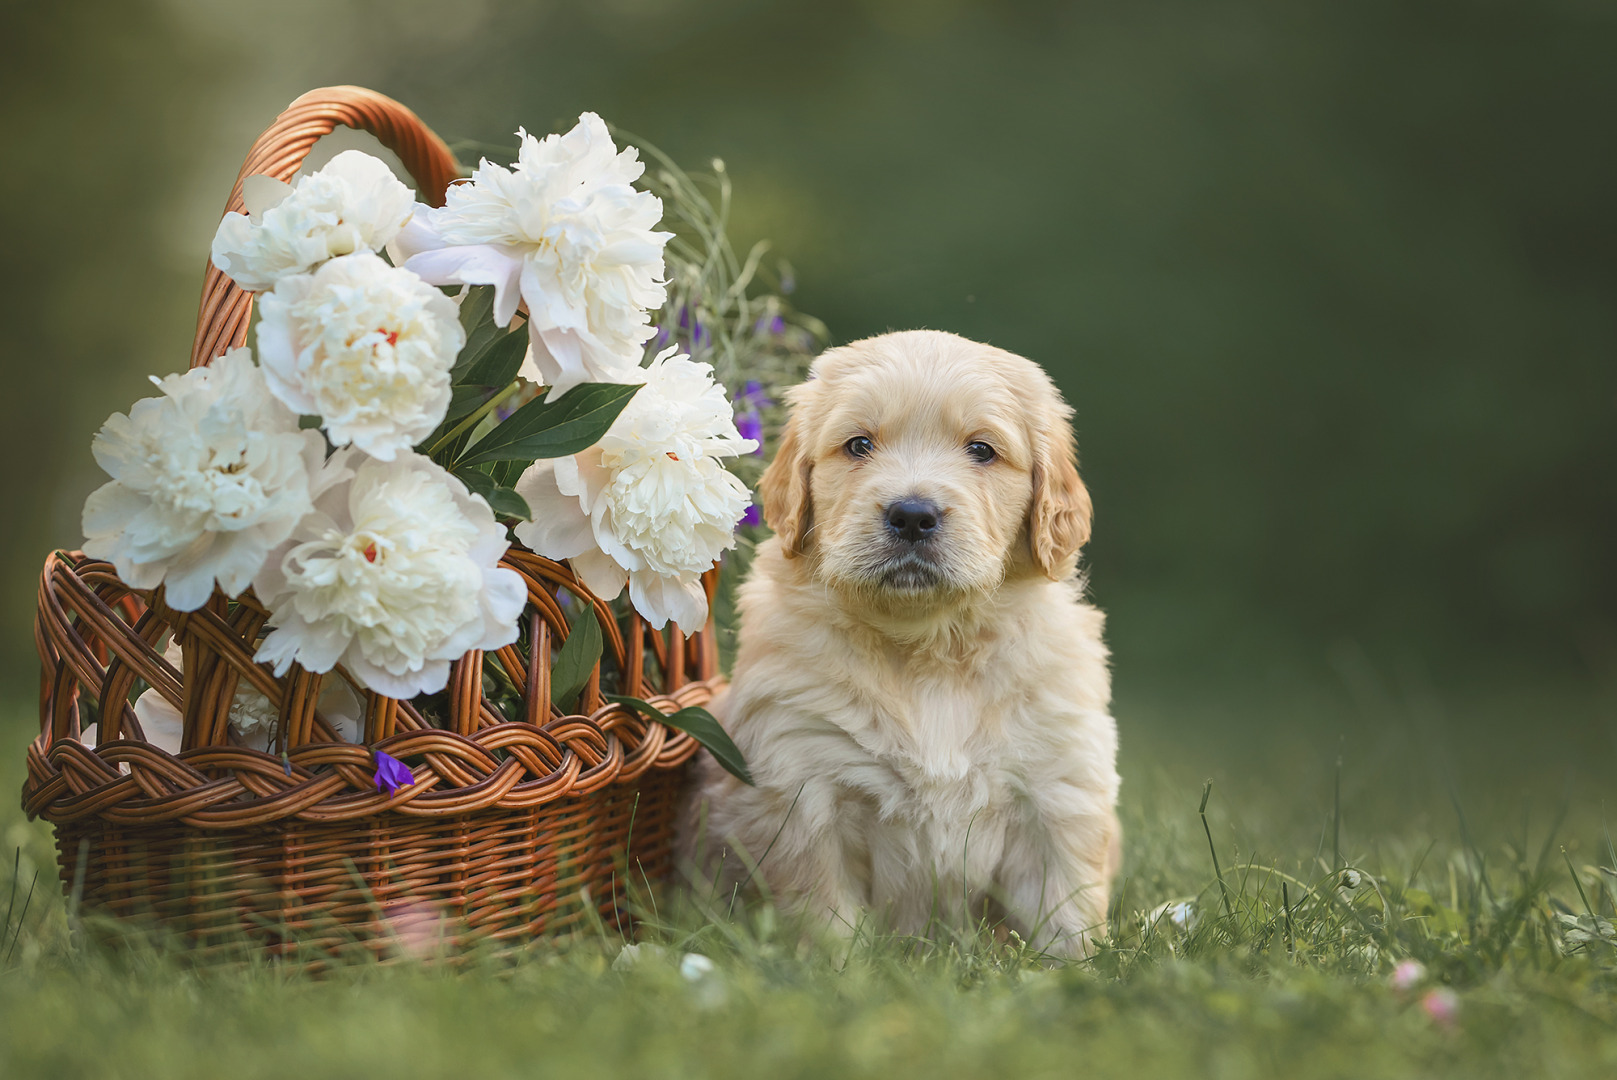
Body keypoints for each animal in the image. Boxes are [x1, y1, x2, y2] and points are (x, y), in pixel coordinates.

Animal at [675, 331, 1118, 963]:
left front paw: (1076, 970)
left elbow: (1066, 909)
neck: (928, 648)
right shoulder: (806, 789)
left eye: (982, 450)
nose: (912, 514)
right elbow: (824, 914)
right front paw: (837, 971)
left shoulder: (1057, 791)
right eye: (859, 445)